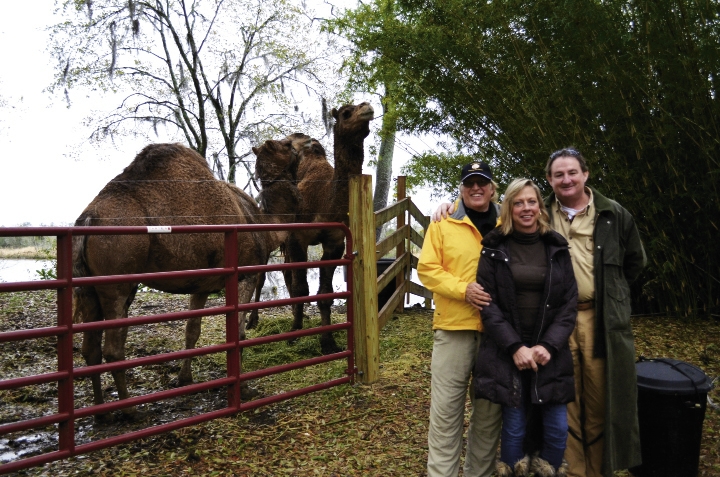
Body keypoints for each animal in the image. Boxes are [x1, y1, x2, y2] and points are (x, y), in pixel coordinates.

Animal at [73, 139, 306, 420]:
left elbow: (192, 332)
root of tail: (87, 219)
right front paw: (246, 389)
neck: (262, 223)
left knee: (90, 348)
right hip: (117, 283)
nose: (304, 145)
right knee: (113, 349)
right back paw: (130, 410)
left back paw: (101, 412)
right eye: (288, 145)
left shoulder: (201, 284)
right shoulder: (244, 275)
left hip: (89, 288)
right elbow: (237, 332)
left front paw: (185, 379)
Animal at [245, 101, 374, 354]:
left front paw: (328, 341)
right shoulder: (298, 237)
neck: (326, 201)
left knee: (286, 273)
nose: (368, 108)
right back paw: (253, 321)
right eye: (346, 113)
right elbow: (301, 288)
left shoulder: (335, 241)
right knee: (263, 275)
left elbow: (324, 292)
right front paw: (294, 333)